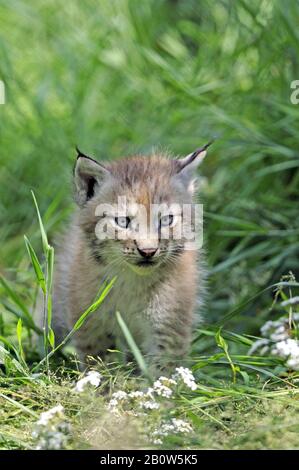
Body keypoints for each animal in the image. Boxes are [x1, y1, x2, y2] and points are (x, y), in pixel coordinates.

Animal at [51, 143, 211, 370]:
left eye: (166, 220)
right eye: (123, 221)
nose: (148, 251)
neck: (132, 279)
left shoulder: (169, 321)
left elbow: (164, 367)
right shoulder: (92, 323)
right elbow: (100, 364)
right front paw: (101, 381)